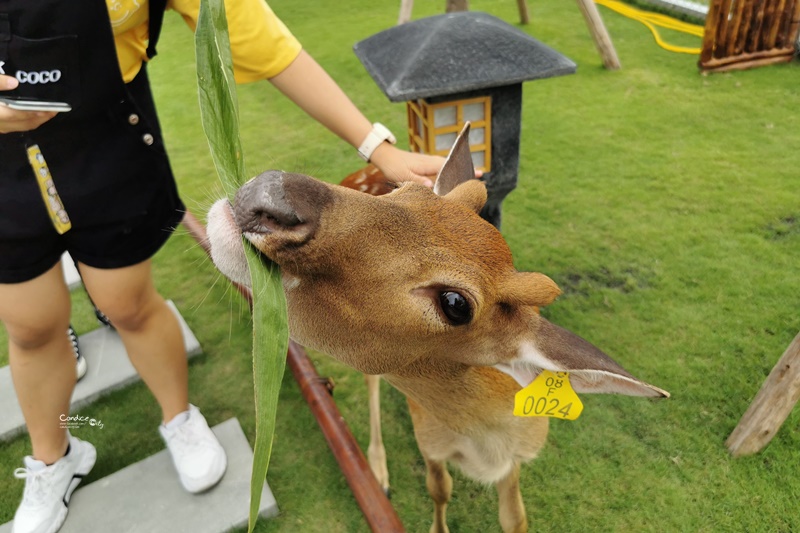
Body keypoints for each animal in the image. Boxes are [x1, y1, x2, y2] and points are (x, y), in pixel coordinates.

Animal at [206, 124, 668, 532]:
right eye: (407, 192)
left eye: (455, 304)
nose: (271, 192)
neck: (485, 446)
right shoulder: (427, 438)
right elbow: (439, 489)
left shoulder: (517, 461)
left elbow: (514, 517)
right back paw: (377, 471)